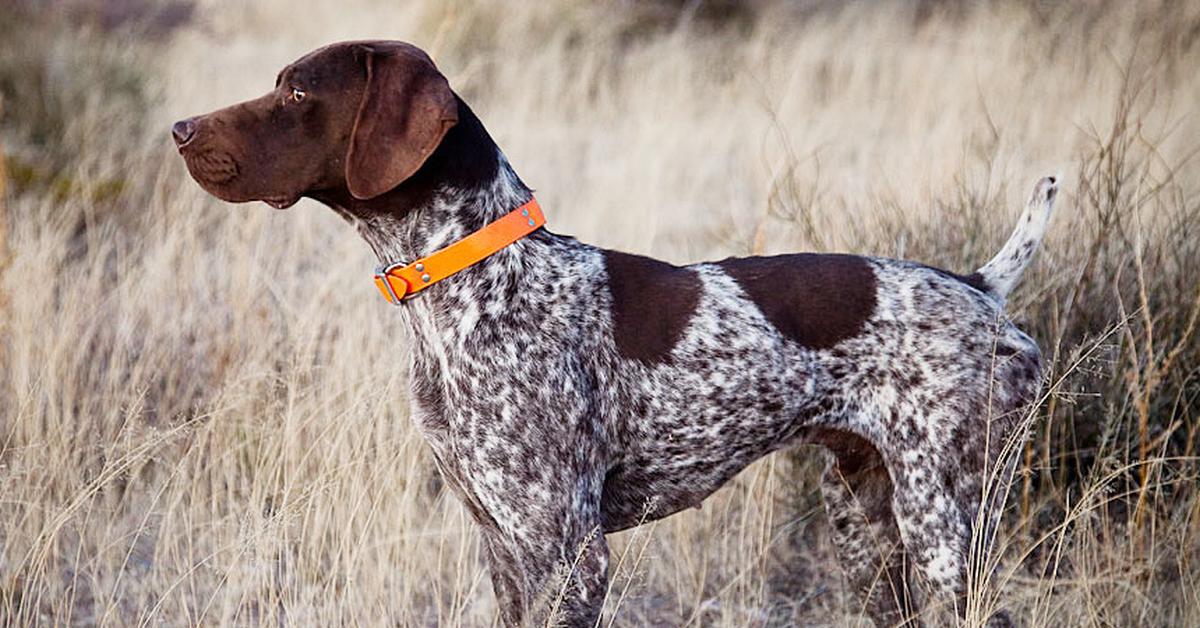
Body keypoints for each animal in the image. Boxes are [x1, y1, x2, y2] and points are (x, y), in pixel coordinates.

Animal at [174, 40, 1056, 628]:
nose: (180, 127)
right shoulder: (503, 545)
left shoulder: (570, 553)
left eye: (296, 93)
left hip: (945, 524)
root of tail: (979, 288)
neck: (480, 282)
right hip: (869, 530)